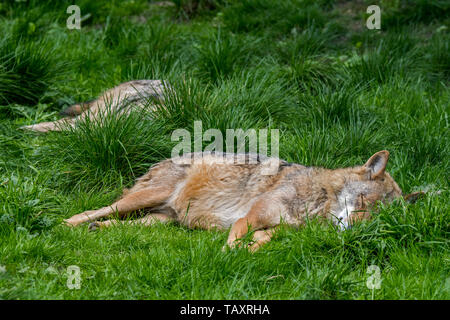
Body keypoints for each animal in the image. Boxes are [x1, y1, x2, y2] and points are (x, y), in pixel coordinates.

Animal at [63, 150, 422, 250]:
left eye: (378, 217)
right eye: (362, 204)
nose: (354, 231)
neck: (315, 203)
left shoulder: (276, 230)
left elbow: (263, 241)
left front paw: (253, 250)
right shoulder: (246, 219)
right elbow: (236, 241)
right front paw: (230, 256)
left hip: (161, 221)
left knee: (125, 225)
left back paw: (99, 230)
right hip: (143, 199)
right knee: (91, 211)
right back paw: (66, 225)